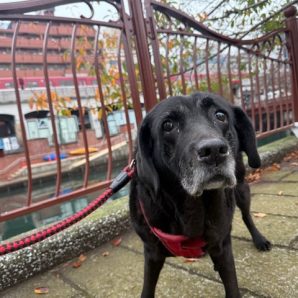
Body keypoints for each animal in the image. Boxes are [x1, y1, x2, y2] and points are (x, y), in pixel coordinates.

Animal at [129, 92, 272, 296]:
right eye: (168, 125)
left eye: (220, 115)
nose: (214, 150)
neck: (191, 207)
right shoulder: (152, 253)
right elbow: (147, 288)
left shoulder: (222, 247)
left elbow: (231, 285)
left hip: (242, 189)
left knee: (246, 216)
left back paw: (259, 239)